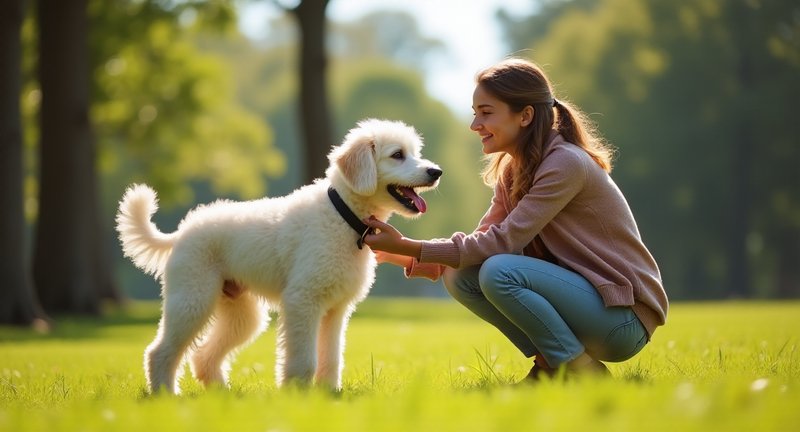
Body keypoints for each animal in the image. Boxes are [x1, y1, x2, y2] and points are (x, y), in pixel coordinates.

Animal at [117, 119, 444, 394]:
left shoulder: (336, 310)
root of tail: (181, 232)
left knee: (202, 356)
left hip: (241, 314)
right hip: (191, 300)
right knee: (159, 351)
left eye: (415, 152)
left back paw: (221, 395)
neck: (342, 215)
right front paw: (296, 393)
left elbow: (331, 357)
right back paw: (166, 395)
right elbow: (304, 358)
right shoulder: (303, 301)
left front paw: (328, 394)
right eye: (397, 154)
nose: (436, 172)